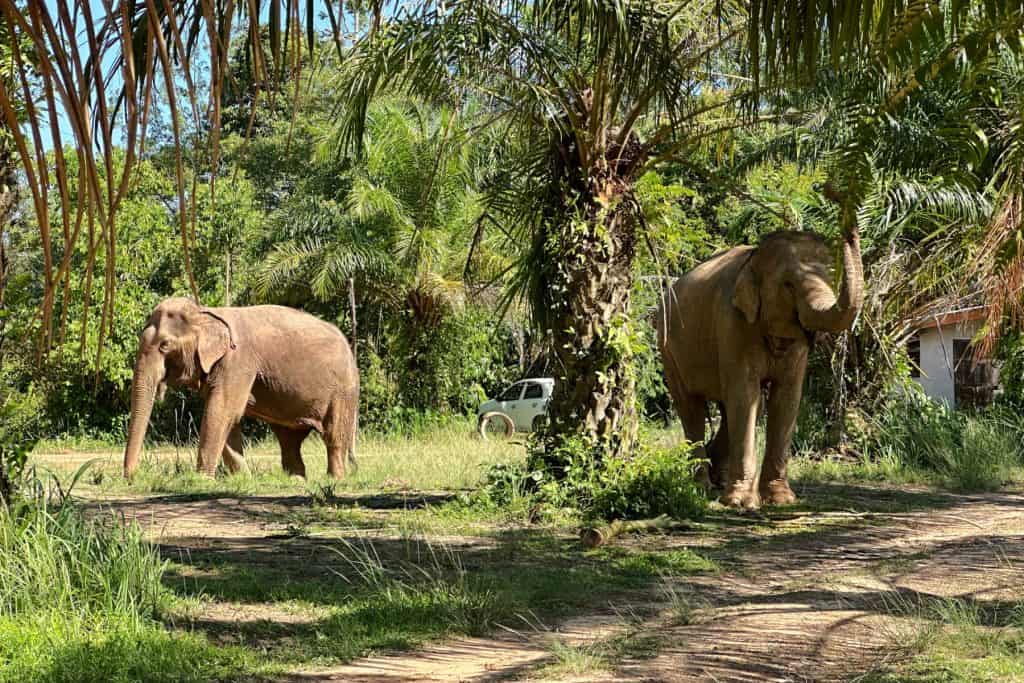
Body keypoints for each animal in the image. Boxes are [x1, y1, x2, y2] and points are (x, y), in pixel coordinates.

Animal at [123, 297, 359, 479]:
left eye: (164, 345)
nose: (132, 477)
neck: (205, 313)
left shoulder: (237, 361)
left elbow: (222, 410)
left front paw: (202, 480)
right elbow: (226, 417)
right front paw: (243, 479)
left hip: (343, 389)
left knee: (334, 435)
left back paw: (335, 479)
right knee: (289, 440)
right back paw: (297, 480)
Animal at [655, 229, 863, 508]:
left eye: (831, 278)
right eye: (788, 284)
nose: (850, 231)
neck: (753, 261)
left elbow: (785, 398)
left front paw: (781, 499)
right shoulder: (733, 323)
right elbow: (745, 395)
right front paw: (740, 503)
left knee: (729, 406)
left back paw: (718, 478)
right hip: (669, 351)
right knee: (692, 408)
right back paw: (700, 486)